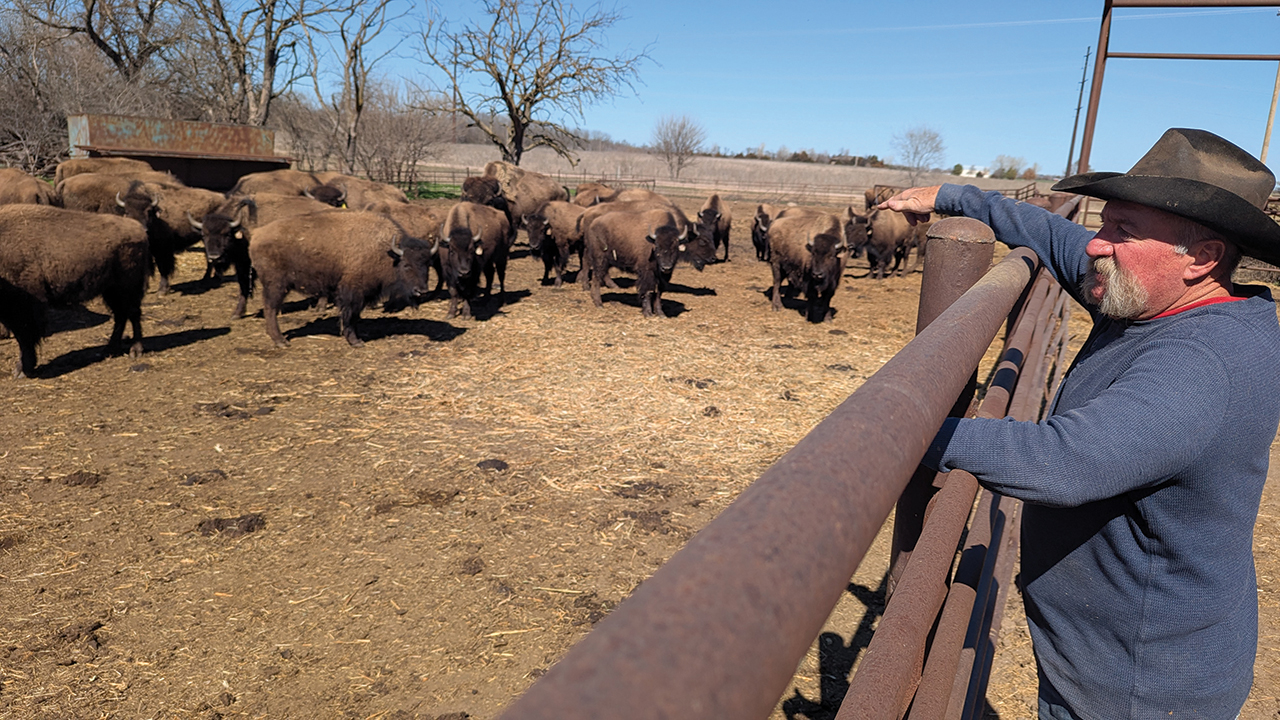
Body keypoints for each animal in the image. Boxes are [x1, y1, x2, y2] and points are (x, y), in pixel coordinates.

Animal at [0, 205, 149, 377]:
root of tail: (139, 229)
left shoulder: (24, 309)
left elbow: (25, 339)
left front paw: (22, 370)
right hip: (111, 291)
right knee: (121, 315)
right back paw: (110, 349)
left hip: (128, 287)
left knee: (133, 313)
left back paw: (135, 351)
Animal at [249, 211, 435, 348]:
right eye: (406, 265)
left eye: (427, 264)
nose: (421, 291)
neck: (385, 251)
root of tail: (256, 234)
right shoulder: (352, 292)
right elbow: (350, 315)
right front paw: (355, 341)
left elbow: (355, 316)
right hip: (276, 285)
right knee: (271, 308)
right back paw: (281, 341)